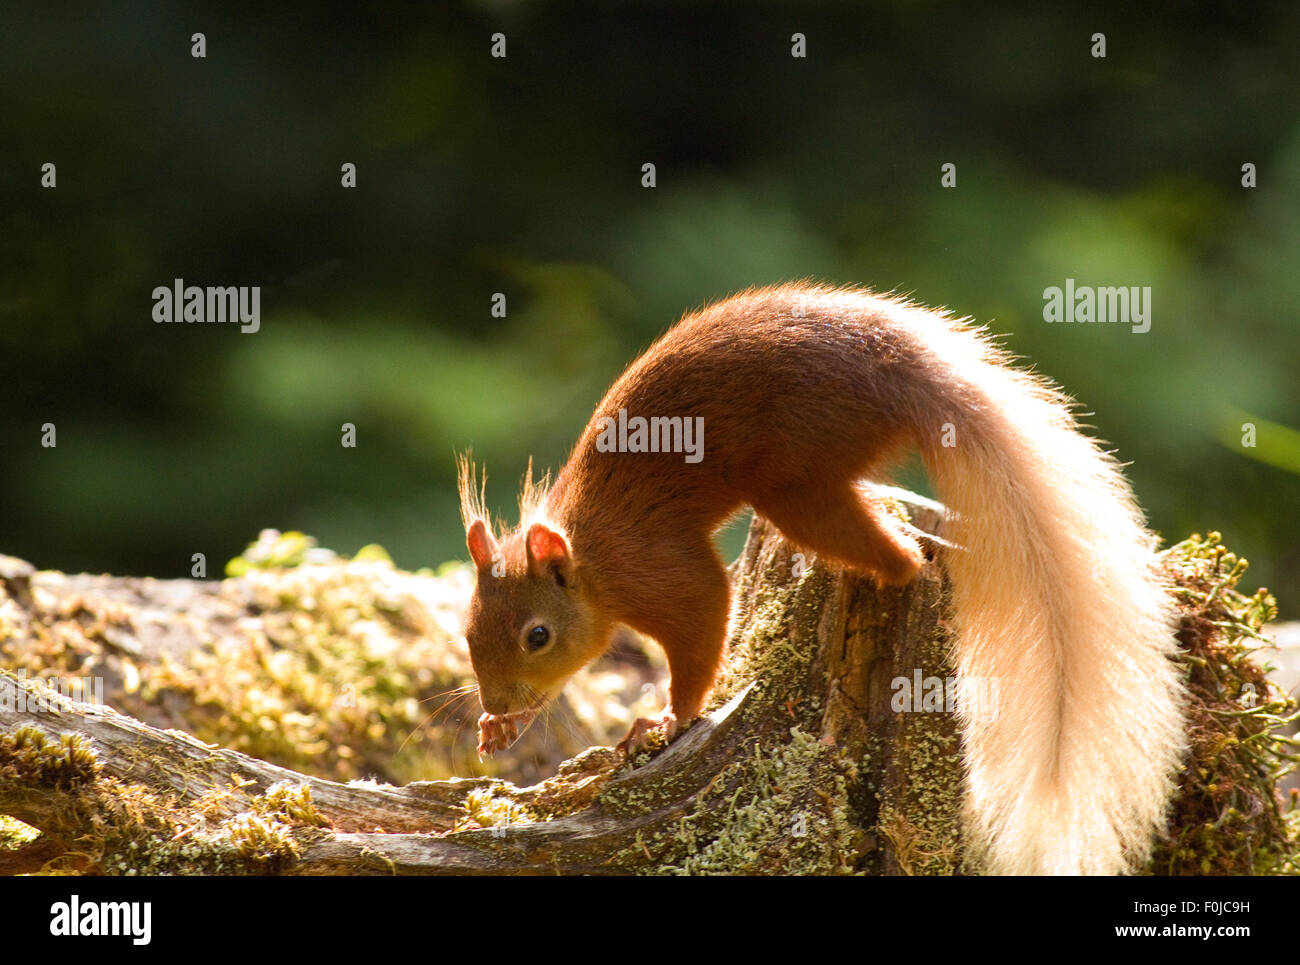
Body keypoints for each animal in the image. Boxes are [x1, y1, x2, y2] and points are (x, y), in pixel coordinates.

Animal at [460, 283, 1190, 879]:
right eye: (467, 633)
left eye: (537, 635)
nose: (495, 702)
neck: (591, 562)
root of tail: (902, 362)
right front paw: (501, 730)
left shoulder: (659, 567)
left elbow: (703, 620)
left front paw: (669, 717)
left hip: (799, 473)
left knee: (899, 556)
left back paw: (894, 570)